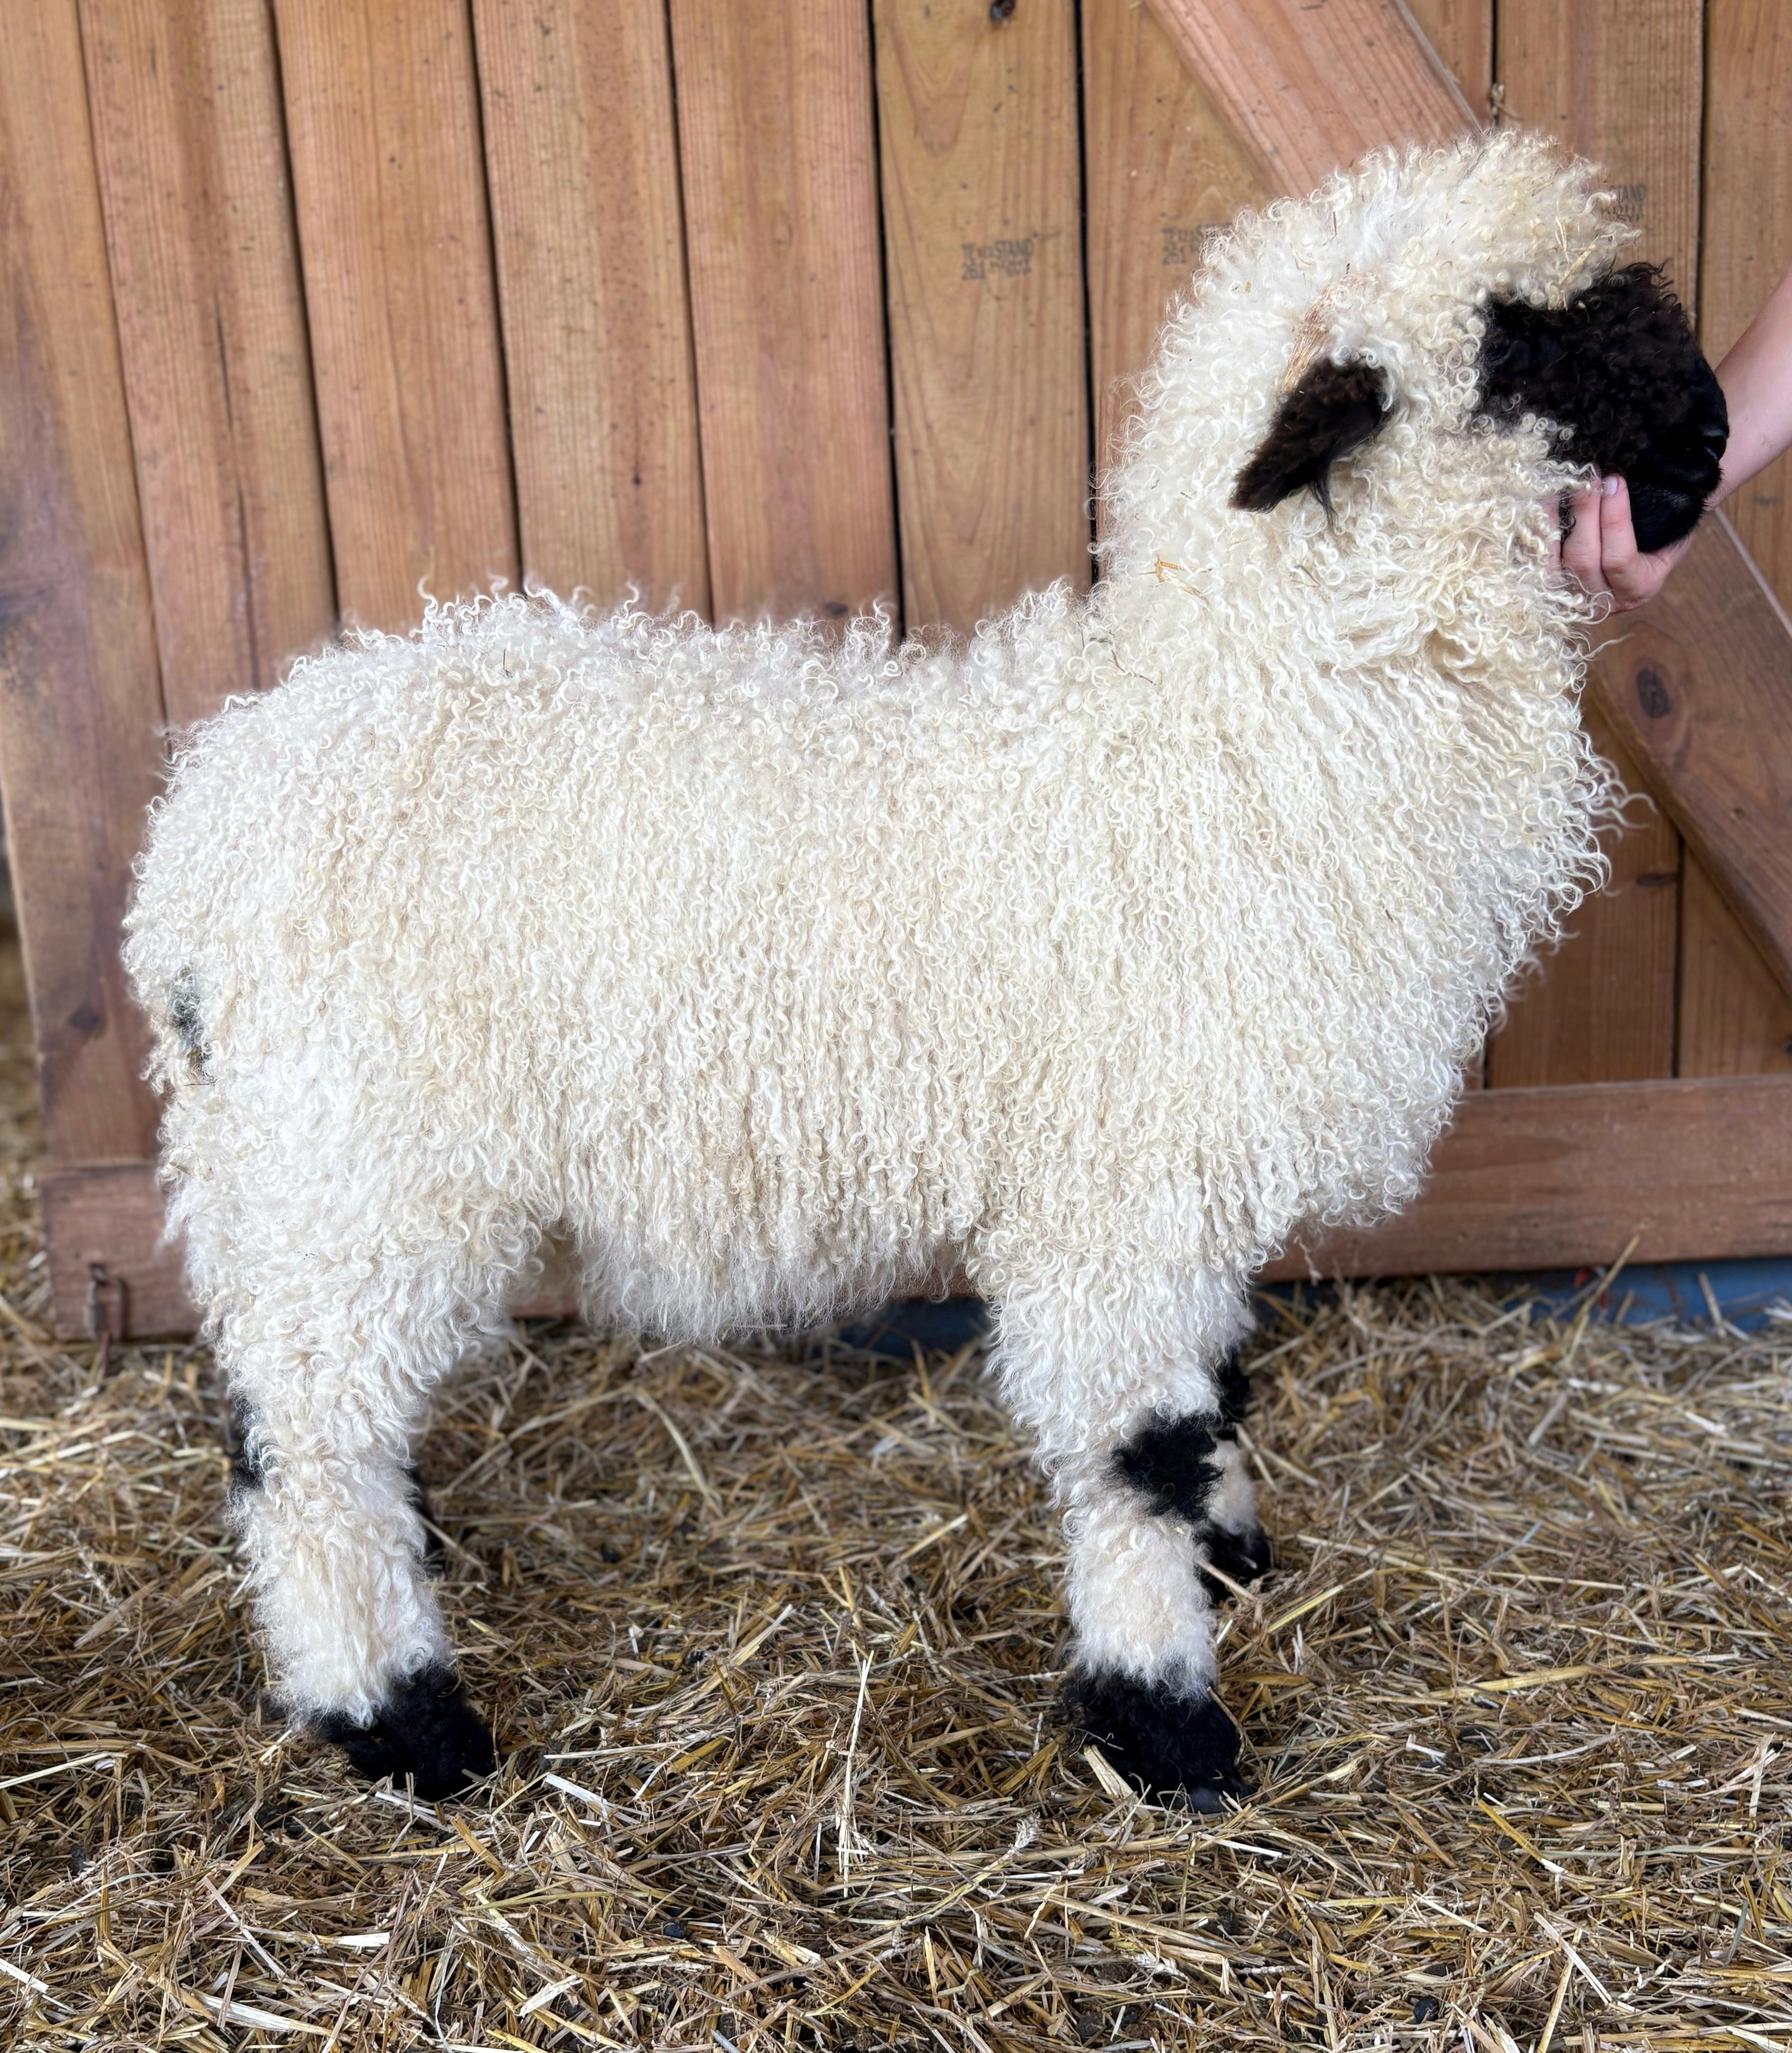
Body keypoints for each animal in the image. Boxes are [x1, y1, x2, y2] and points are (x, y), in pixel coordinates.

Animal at [123, 128, 1728, 1806]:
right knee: (305, 1443)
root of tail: (202, 837)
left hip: (292, 1172)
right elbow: (1137, 1450)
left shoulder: (1194, 1160)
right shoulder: (1113, 1196)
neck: (1231, 738)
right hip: (359, 1160)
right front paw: (1164, 1719)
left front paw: (1228, 1556)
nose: (1712, 438)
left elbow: (1217, 1380)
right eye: (1512, 344)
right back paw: (401, 1714)